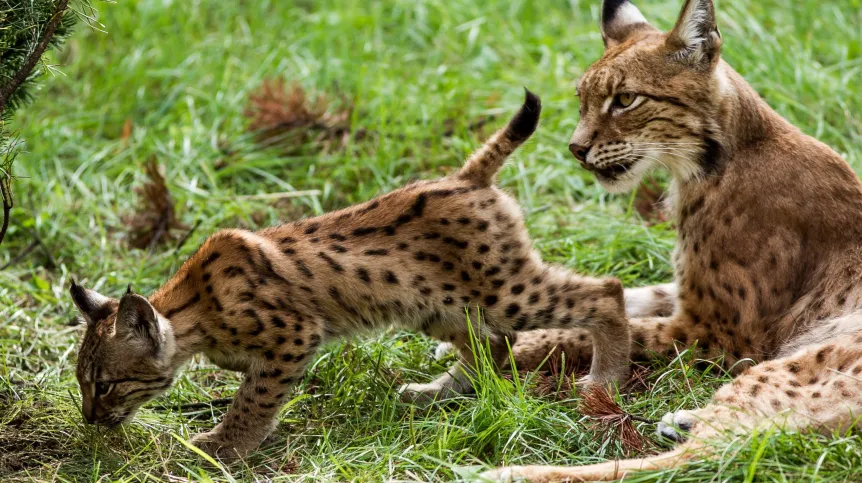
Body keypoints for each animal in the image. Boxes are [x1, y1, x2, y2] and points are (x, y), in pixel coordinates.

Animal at [71, 91, 632, 462]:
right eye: (84, 384)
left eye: (105, 385)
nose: (89, 419)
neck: (193, 312)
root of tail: (464, 177)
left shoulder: (295, 335)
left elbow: (254, 398)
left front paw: (225, 447)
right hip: (436, 303)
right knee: (494, 344)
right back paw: (433, 393)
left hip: (502, 290)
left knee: (605, 290)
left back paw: (605, 381)